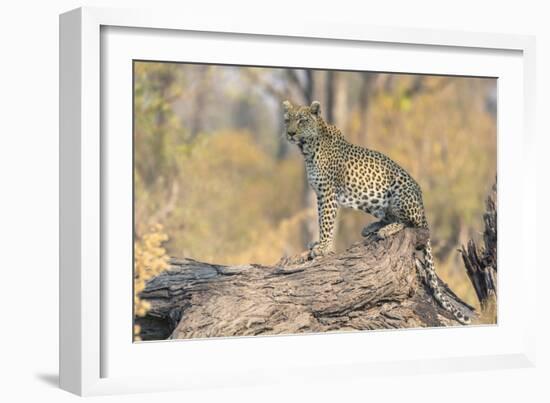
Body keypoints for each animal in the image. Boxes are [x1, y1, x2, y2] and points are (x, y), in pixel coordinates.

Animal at [284, 98, 470, 326]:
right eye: (287, 120)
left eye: (302, 120)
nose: (290, 133)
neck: (308, 149)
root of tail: (422, 206)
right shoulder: (320, 194)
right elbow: (321, 219)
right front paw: (319, 243)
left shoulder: (328, 192)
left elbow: (326, 222)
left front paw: (323, 247)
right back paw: (371, 227)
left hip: (400, 192)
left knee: (410, 223)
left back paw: (385, 230)